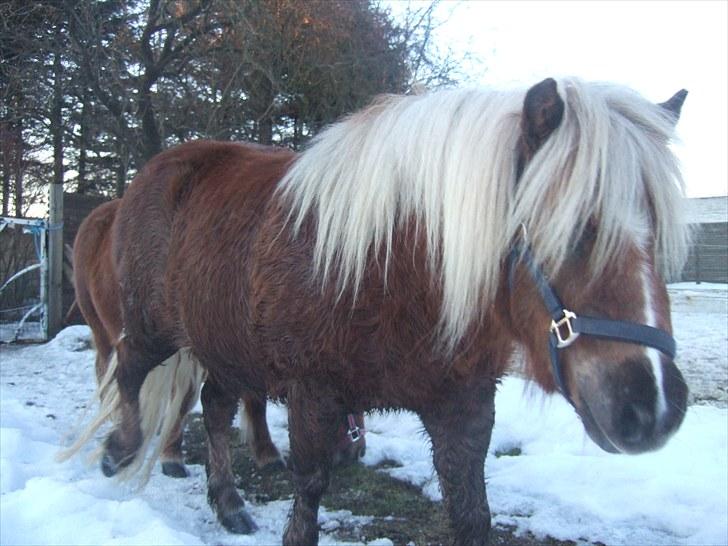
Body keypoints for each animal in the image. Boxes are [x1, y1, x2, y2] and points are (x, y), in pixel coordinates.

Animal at [68, 196, 364, 480]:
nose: (356, 452)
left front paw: (265, 453)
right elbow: (184, 397)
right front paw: (170, 456)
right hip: (103, 332)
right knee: (107, 374)